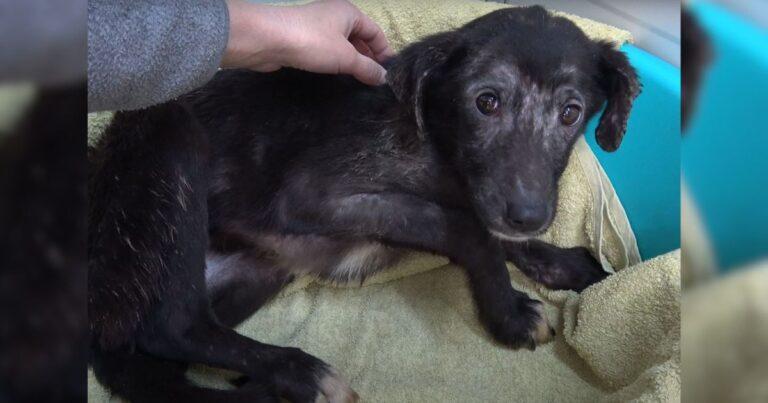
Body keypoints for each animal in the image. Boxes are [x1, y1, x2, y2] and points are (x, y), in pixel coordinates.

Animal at [90, 7, 640, 403]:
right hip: (168, 145)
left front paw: (565, 263)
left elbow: (486, 225)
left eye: (570, 113)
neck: (437, 139)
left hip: (256, 273)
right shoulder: (312, 195)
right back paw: (301, 374)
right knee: (173, 325)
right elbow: (466, 227)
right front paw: (508, 310)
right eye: (486, 102)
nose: (530, 216)